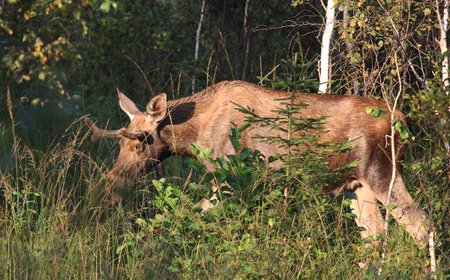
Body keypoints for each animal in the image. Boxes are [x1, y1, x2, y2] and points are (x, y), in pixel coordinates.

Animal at [85, 80, 428, 244]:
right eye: (119, 142)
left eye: (140, 142)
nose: (112, 181)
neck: (193, 138)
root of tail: (403, 120)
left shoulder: (228, 176)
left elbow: (188, 216)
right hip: (357, 185)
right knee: (375, 235)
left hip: (383, 172)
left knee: (420, 224)